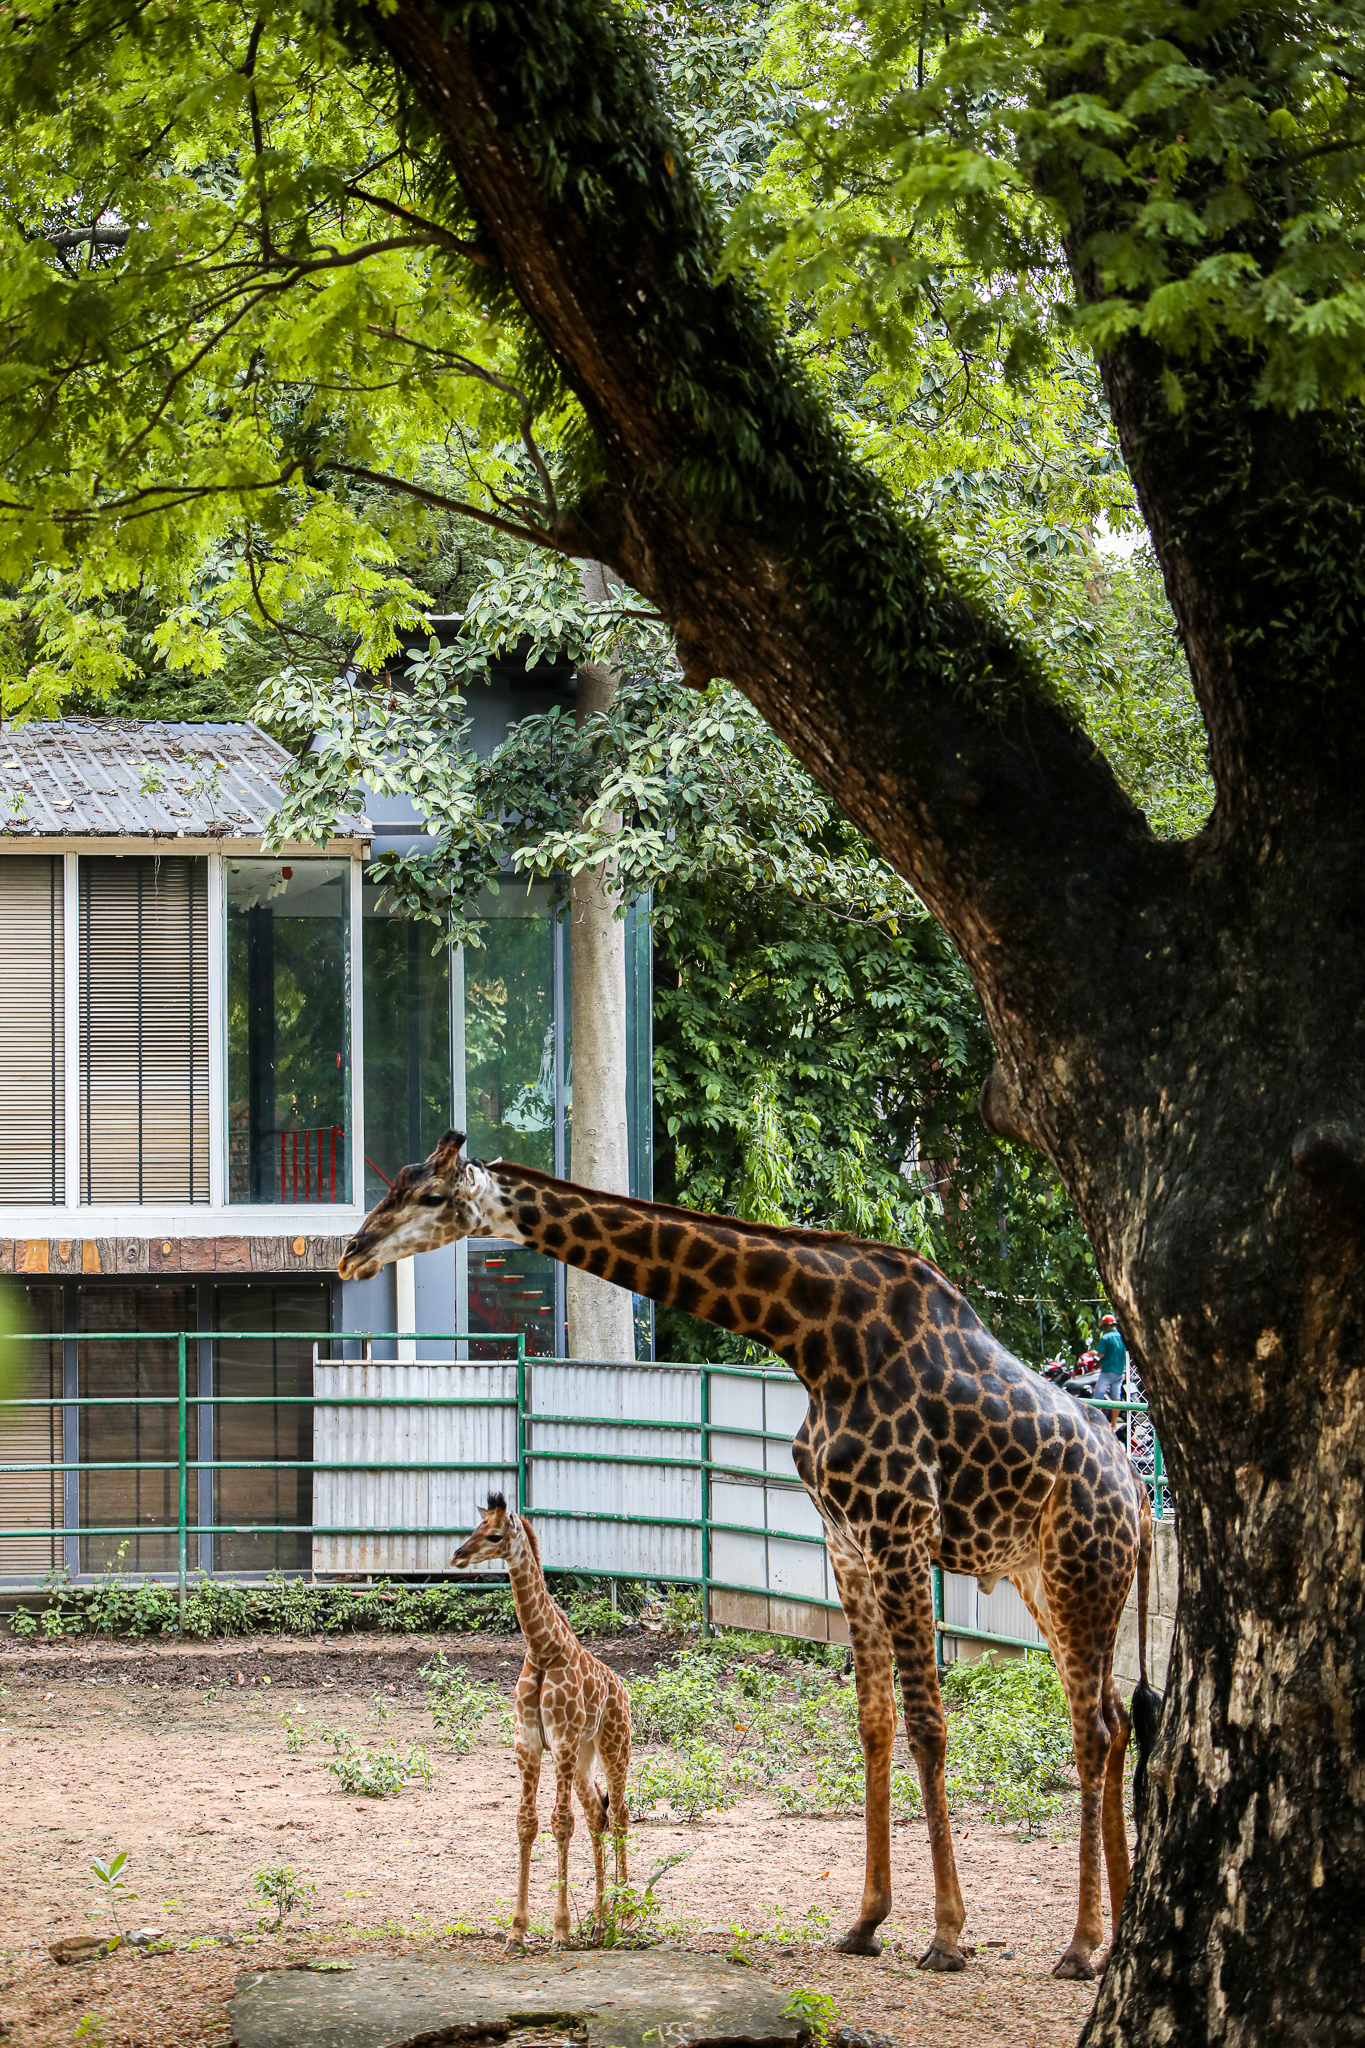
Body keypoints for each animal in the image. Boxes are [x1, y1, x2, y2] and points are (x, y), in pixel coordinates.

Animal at [454, 1499, 634, 1941]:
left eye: (494, 1535)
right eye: (475, 1527)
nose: (458, 1555)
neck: (542, 1649)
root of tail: (622, 1689)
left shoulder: (563, 1741)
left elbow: (561, 1822)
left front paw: (560, 1930)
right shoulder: (530, 1744)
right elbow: (527, 1823)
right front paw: (517, 1931)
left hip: (614, 1746)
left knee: (619, 1816)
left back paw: (625, 1915)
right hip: (585, 1757)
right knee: (597, 1815)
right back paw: (601, 1921)